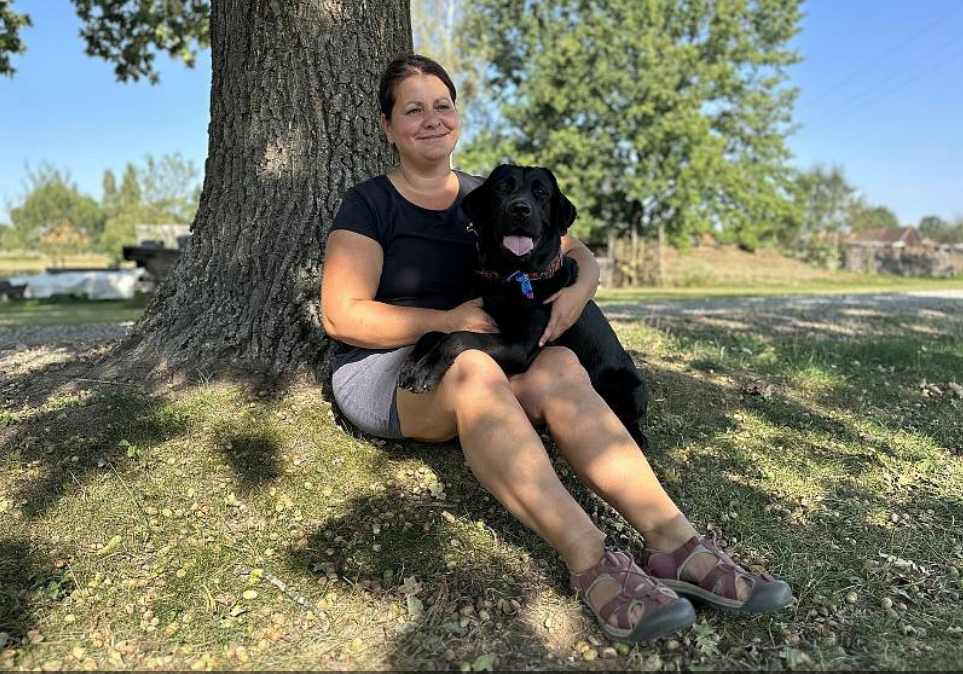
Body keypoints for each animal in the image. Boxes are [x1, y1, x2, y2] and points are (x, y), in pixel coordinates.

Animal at [398, 164, 650, 448]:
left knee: (627, 418)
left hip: (629, 387)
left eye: (541, 192)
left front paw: (425, 370)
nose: (520, 209)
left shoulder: (520, 345)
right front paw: (410, 364)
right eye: (502, 188)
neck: (511, 276)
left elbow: (457, 337)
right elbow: (434, 333)